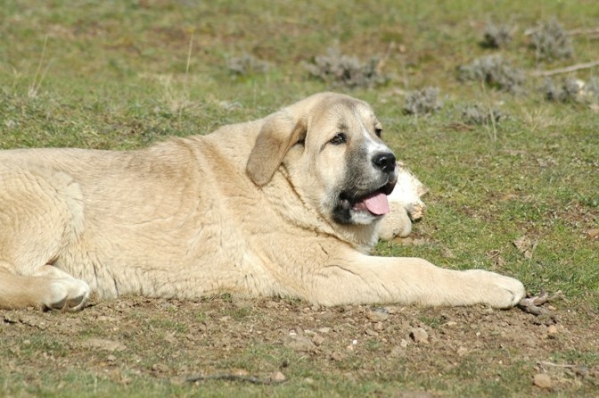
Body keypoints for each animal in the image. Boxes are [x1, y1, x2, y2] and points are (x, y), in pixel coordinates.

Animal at [0, 92, 524, 310]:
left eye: (377, 132)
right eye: (338, 139)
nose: (388, 161)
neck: (282, 183)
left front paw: (402, 210)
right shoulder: (330, 272)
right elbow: (418, 269)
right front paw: (495, 284)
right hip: (55, 194)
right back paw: (56, 292)